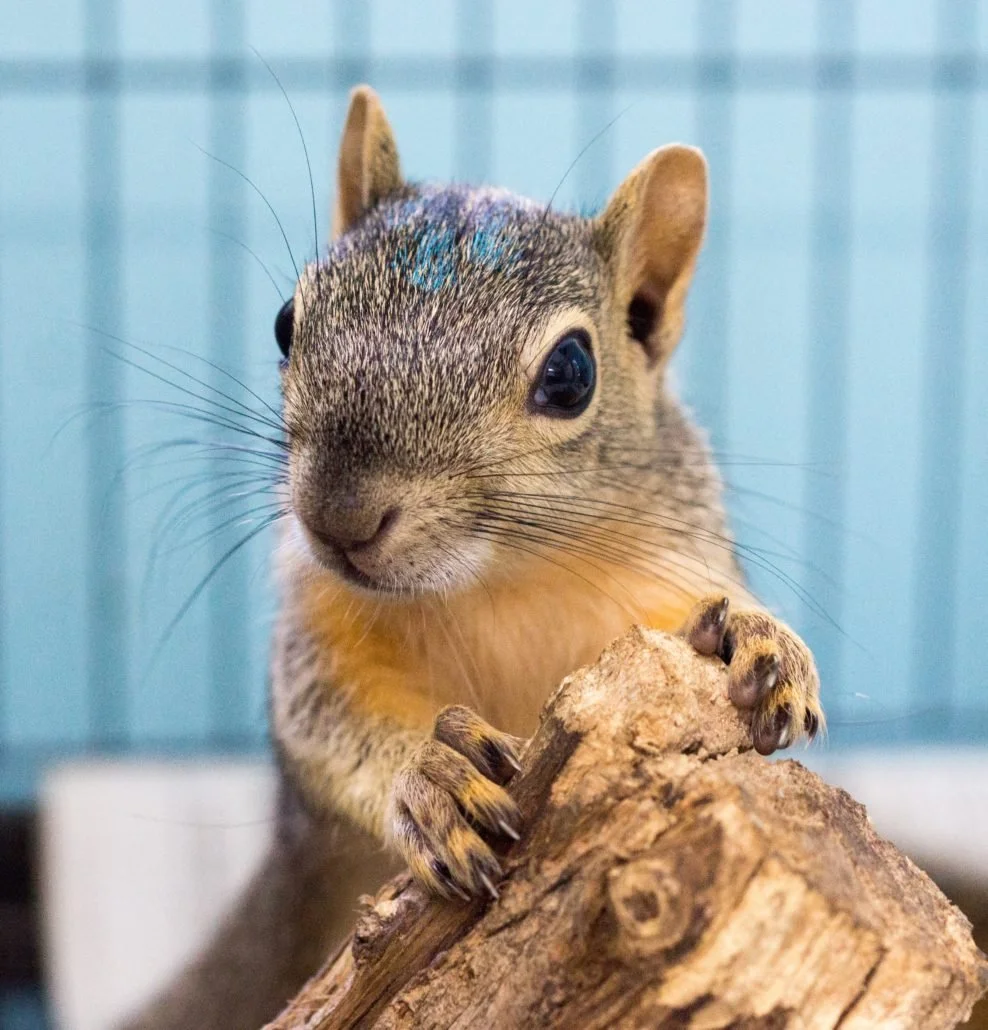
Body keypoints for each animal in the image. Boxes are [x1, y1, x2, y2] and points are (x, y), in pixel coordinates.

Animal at [122, 85, 823, 1030]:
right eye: (285, 322)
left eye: (570, 373)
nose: (338, 516)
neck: (497, 580)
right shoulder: (321, 626)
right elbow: (327, 721)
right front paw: (430, 776)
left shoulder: (661, 567)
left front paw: (752, 636)